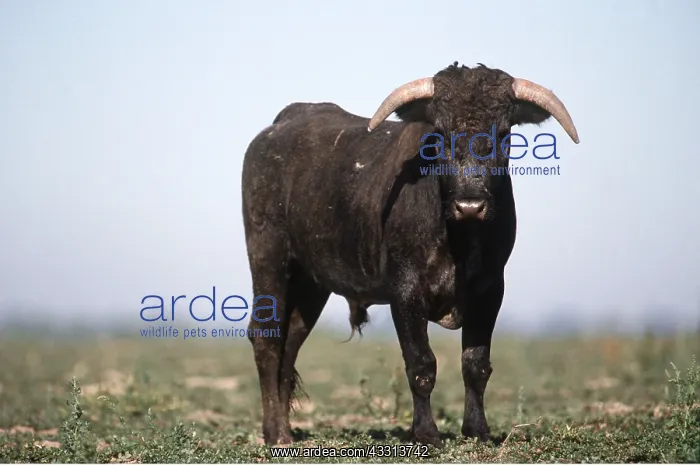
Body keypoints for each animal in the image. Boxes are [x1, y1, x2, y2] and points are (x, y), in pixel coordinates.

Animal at [241, 61, 579, 447]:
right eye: (441, 133)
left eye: (505, 133)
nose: (470, 205)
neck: (459, 239)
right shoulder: (405, 292)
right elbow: (421, 364)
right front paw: (426, 432)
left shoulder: (491, 290)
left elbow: (476, 364)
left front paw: (477, 430)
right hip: (268, 260)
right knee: (267, 337)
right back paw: (275, 434)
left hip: (311, 283)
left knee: (291, 340)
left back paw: (284, 430)